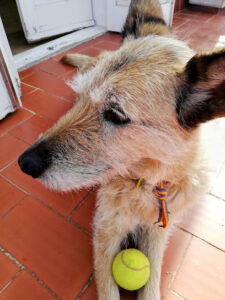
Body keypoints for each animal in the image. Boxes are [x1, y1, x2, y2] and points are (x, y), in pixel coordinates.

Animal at [18, 0, 225, 300]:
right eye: (82, 99)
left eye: (115, 114)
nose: (24, 163)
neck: (145, 184)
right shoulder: (105, 233)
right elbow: (108, 289)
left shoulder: (156, 235)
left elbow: (152, 287)